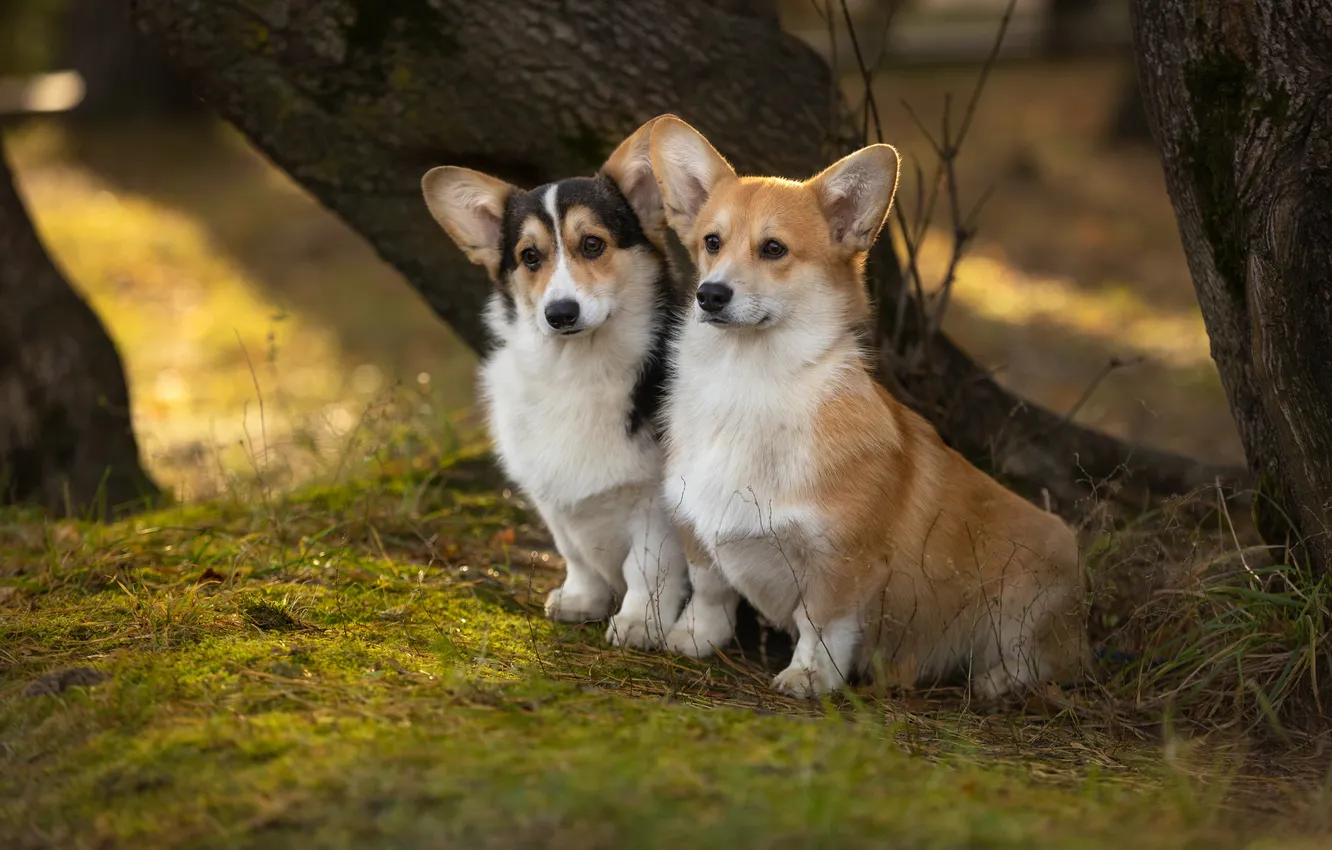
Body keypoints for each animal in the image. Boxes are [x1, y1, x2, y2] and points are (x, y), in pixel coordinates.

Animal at [423, 119, 687, 650]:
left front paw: (637, 624)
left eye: (593, 244)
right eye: (529, 256)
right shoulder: (552, 501)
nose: (560, 313)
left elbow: (647, 568)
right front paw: (581, 601)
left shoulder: (657, 507)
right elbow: (576, 556)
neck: (579, 369)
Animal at [650, 114, 1086, 698]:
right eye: (711, 243)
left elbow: (820, 623)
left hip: (1032, 588)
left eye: (773, 249)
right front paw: (690, 638)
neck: (749, 383)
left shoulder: (841, 562)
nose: (710, 295)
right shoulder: (696, 527)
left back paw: (995, 681)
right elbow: (709, 590)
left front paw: (808, 677)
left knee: (1038, 660)